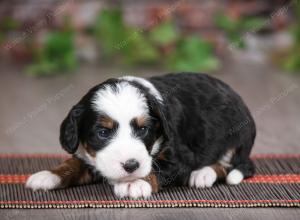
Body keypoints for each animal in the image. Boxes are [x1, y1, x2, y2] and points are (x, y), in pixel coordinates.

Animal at [26, 73, 255, 199]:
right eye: (103, 133)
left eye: (143, 130)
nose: (131, 166)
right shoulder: (90, 156)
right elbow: (72, 164)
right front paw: (48, 175)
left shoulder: (179, 156)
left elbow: (156, 168)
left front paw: (134, 183)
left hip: (236, 137)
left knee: (229, 165)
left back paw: (202, 174)